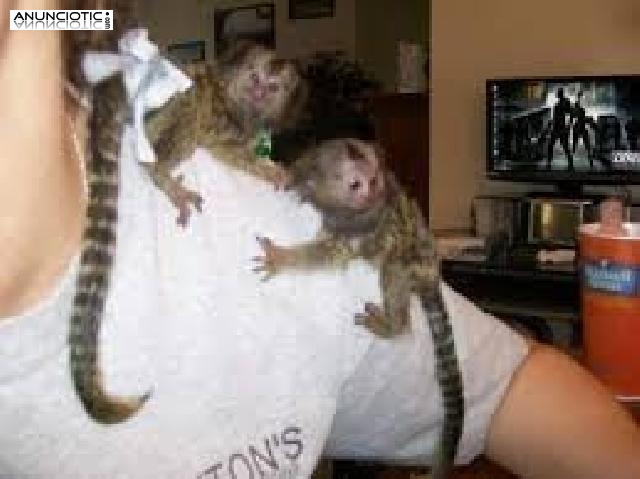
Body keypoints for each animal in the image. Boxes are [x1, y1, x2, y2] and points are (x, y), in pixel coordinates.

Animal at [144, 41, 307, 226]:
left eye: (273, 87)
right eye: (255, 78)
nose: (258, 94)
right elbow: (223, 147)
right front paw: (271, 171)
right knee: (191, 106)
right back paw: (164, 178)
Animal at [253, 138, 464, 479]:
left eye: (373, 180)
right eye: (355, 184)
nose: (370, 193)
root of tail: (432, 269)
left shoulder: (359, 224)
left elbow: (333, 253)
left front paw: (282, 258)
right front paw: (287, 176)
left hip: (412, 264)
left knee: (392, 268)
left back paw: (392, 325)